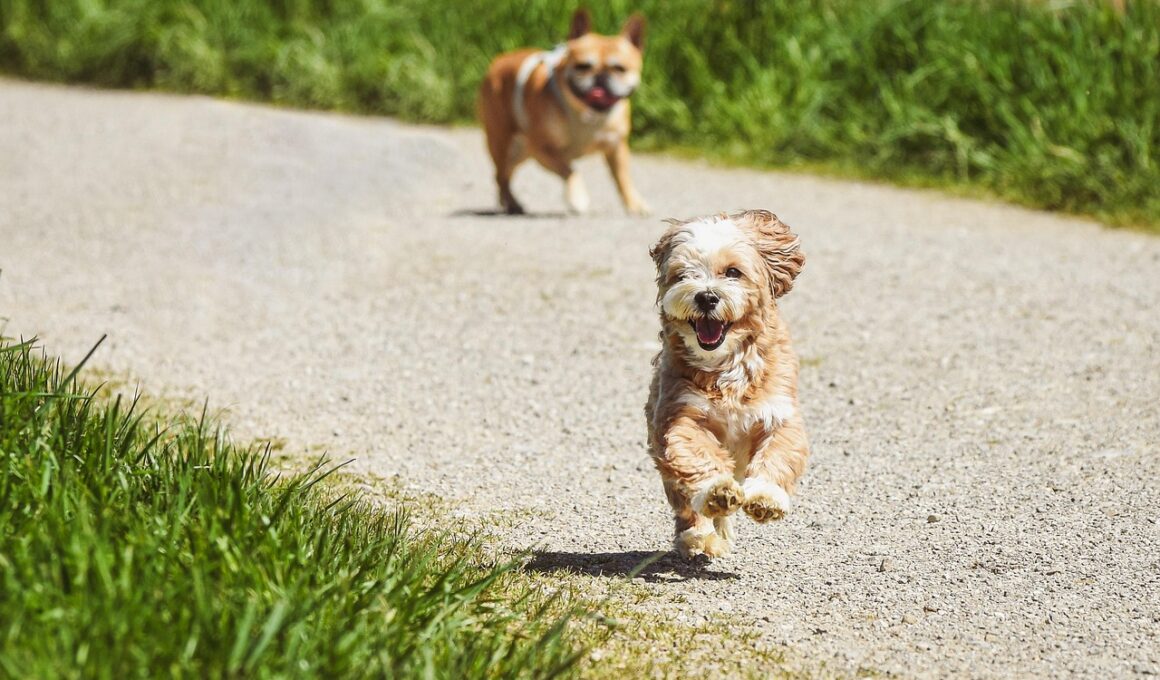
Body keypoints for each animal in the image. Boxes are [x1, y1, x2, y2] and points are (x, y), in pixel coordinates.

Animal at [478, 9, 649, 216]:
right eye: (583, 66)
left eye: (620, 68)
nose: (600, 78)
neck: (587, 115)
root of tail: (498, 61)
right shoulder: (542, 149)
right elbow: (569, 170)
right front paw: (578, 198)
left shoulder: (616, 148)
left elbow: (623, 178)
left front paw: (635, 203)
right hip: (503, 144)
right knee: (501, 175)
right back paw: (511, 203)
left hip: (520, 152)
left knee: (503, 174)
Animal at [645, 210, 809, 559]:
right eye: (683, 275)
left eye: (733, 272)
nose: (706, 296)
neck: (726, 366)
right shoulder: (680, 417)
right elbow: (697, 455)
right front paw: (716, 491)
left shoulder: (779, 414)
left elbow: (779, 455)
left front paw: (767, 497)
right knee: (685, 502)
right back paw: (700, 535)